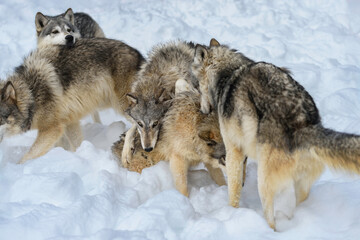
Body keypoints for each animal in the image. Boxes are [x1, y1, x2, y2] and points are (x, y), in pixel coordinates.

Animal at [0, 38, 143, 163]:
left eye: (0, 119)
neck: (31, 94)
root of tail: (138, 55)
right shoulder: (68, 122)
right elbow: (75, 145)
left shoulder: (52, 129)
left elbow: (26, 157)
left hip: (121, 105)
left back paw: (126, 153)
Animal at [193, 38, 360, 230]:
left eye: (197, 86)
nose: (202, 110)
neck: (229, 71)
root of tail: (303, 125)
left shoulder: (234, 150)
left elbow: (234, 190)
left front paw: (231, 212)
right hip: (299, 182)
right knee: (299, 201)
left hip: (264, 183)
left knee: (271, 219)